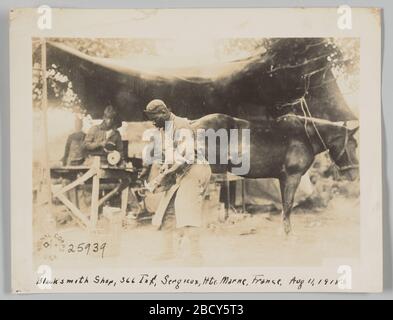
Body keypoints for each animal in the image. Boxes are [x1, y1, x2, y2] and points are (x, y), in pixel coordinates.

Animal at [190, 114, 358, 234]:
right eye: (354, 144)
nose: (354, 174)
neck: (305, 136)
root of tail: (192, 125)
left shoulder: (283, 178)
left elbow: (285, 205)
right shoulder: (292, 177)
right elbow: (288, 205)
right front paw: (288, 234)